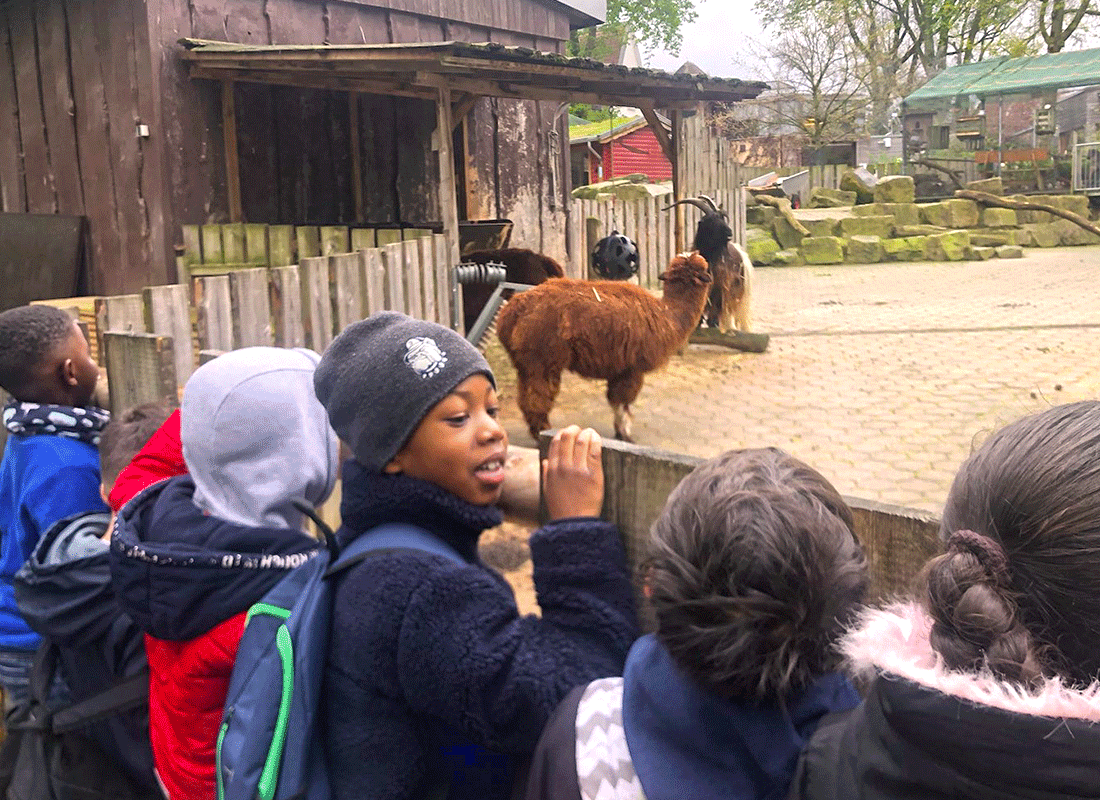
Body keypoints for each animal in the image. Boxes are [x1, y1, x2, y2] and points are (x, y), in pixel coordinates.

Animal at [664, 195, 752, 332]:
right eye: (711, 220)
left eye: (722, 218)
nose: (729, 233)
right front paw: (698, 323)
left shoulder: (720, 284)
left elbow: (716, 303)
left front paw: (713, 323)